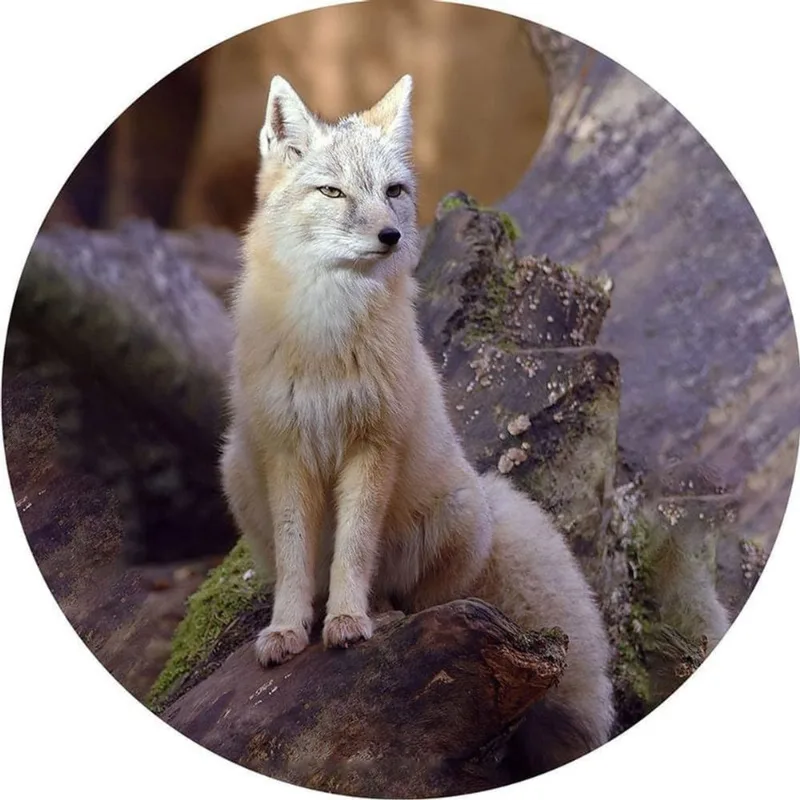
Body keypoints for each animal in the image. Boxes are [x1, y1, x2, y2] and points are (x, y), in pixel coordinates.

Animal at [219, 73, 615, 777]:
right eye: (332, 192)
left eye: (394, 193)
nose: (390, 236)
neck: (326, 336)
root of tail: (489, 492)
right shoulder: (287, 451)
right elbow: (295, 560)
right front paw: (287, 630)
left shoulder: (371, 446)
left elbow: (354, 547)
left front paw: (349, 622)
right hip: (237, 469)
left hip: (457, 516)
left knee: (414, 603)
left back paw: (376, 610)